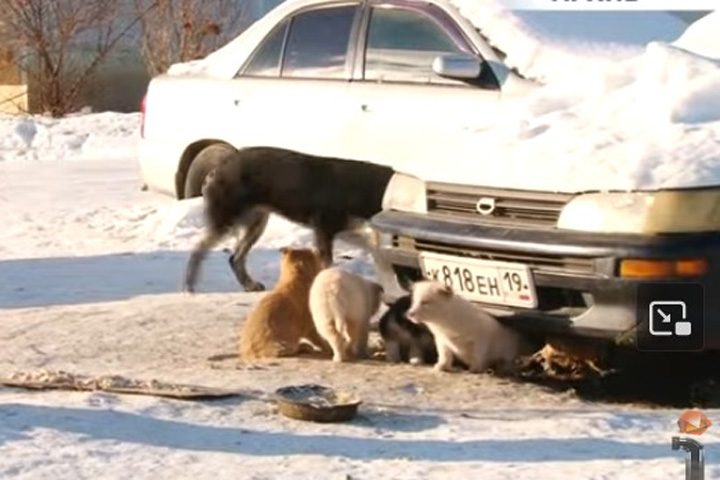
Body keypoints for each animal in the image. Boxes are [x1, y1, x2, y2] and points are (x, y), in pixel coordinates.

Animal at [183, 145, 390, 292]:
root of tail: (218, 168)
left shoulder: (343, 230)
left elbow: (376, 250)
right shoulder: (324, 230)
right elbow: (327, 265)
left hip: (257, 224)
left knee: (235, 258)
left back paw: (249, 285)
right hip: (227, 220)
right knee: (198, 250)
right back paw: (189, 286)